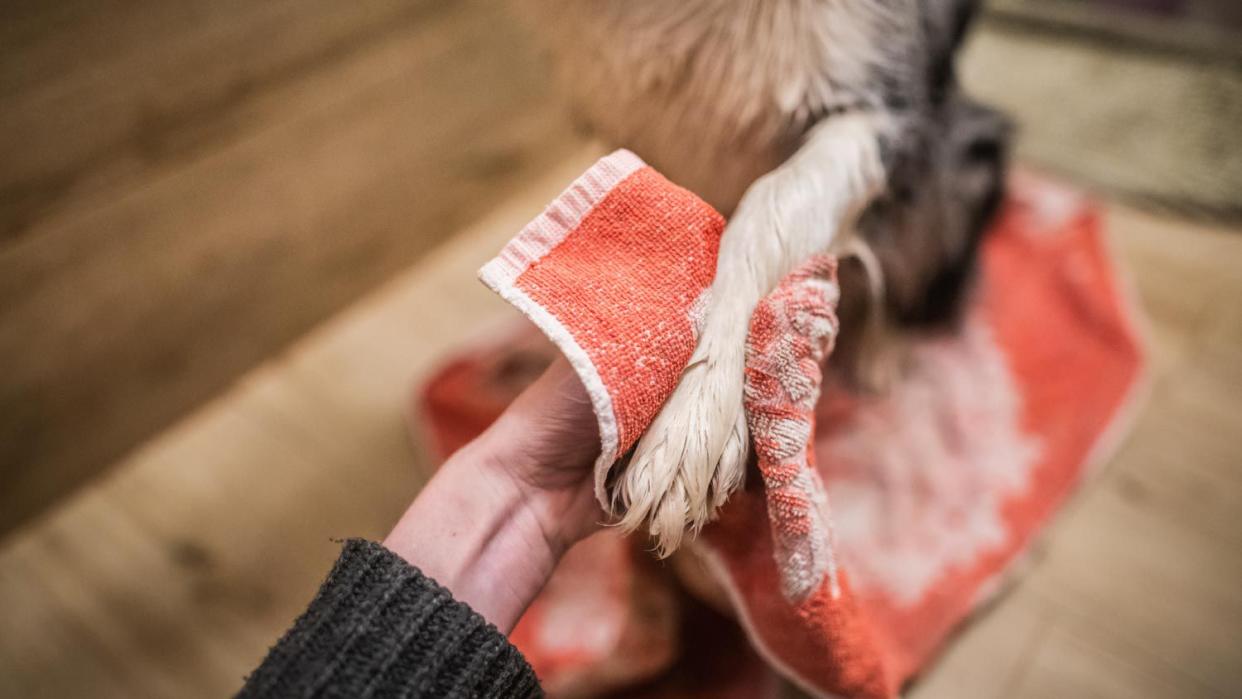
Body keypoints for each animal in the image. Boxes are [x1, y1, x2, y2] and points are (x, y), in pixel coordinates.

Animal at [514, 1, 1008, 558]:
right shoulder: (631, 111)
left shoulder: (877, 105)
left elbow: (764, 205)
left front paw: (693, 416)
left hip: (961, 158)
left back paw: (882, 349)